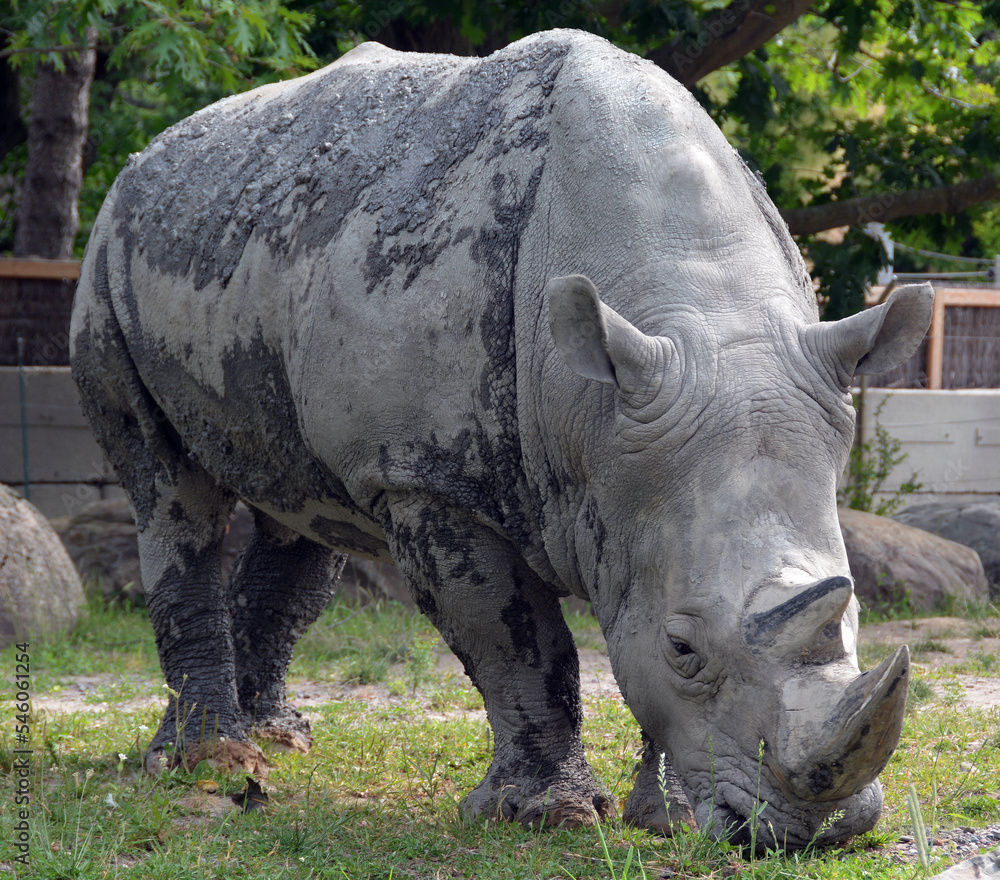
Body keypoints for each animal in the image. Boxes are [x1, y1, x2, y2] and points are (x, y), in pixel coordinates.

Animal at [71, 29, 931, 849]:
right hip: (109, 256)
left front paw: (672, 820)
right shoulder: (425, 476)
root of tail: (149, 156)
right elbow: (517, 639)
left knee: (302, 512)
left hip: (246, 244)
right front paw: (551, 814)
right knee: (173, 498)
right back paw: (209, 764)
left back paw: (276, 744)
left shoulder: (641, 457)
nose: (820, 832)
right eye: (685, 647)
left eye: (856, 617)